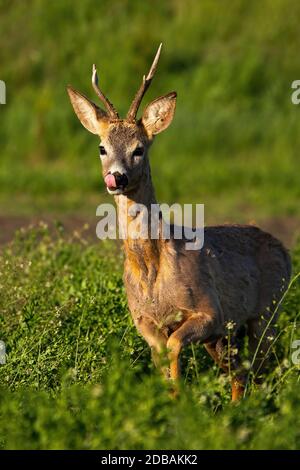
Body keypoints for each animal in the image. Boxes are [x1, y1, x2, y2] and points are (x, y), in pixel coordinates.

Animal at [67, 45, 290, 400]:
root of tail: (285, 249)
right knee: (240, 372)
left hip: (268, 309)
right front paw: (170, 400)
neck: (151, 270)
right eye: (102, 147)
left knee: (259, 368)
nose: (116, 177)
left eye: (139, 149)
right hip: (228, 334)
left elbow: (174, 347)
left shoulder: (210, 311)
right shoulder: (145, 322)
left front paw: (180, 399)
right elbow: (163, 359)